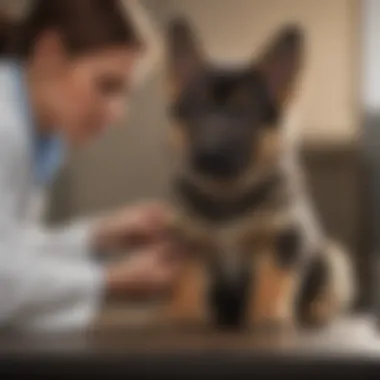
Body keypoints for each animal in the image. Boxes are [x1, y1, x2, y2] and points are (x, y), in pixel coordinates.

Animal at [163, 17, 356, 332]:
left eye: (244, 113)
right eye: (196, 110)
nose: (207, 154)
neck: (227, 193)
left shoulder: (285, 237)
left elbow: (273, 277)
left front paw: (268, 315)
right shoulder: (187, 240)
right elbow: (188, 276)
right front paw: (185, 313)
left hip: (333, 257)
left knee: (326, 290)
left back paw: (318, 309)